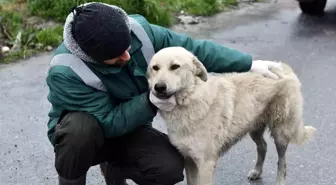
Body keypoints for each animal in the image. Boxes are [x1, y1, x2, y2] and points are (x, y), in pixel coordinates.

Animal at [146, 47, 316, 185]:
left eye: (175, 66)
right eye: (155, 68)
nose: (159, 87)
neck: (191, 98)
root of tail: (282, 66)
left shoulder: (206, 164)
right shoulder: (188, 160)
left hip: (280, 133)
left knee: (282, 162)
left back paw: (279, 180)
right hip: (253, 126)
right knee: (263, 146)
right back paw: (257, 171)